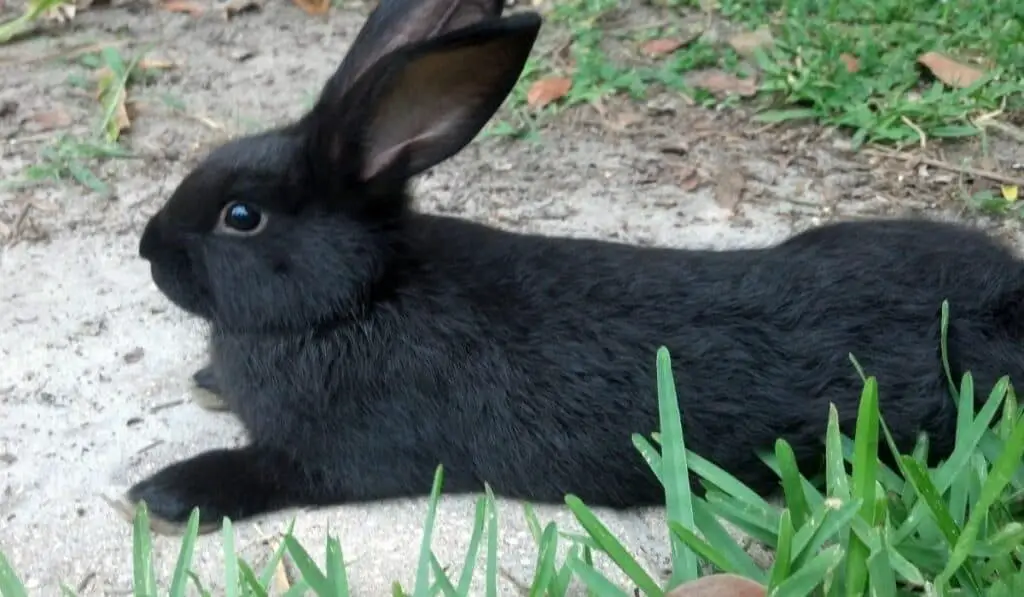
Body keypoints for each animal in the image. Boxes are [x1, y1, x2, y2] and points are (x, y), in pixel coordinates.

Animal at [123, 0, 1024, 532]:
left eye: (242, 217)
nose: (147, 250)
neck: (360, 295)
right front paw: (207, 384)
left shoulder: (337, 454)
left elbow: (272, 471)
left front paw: (164, 495)